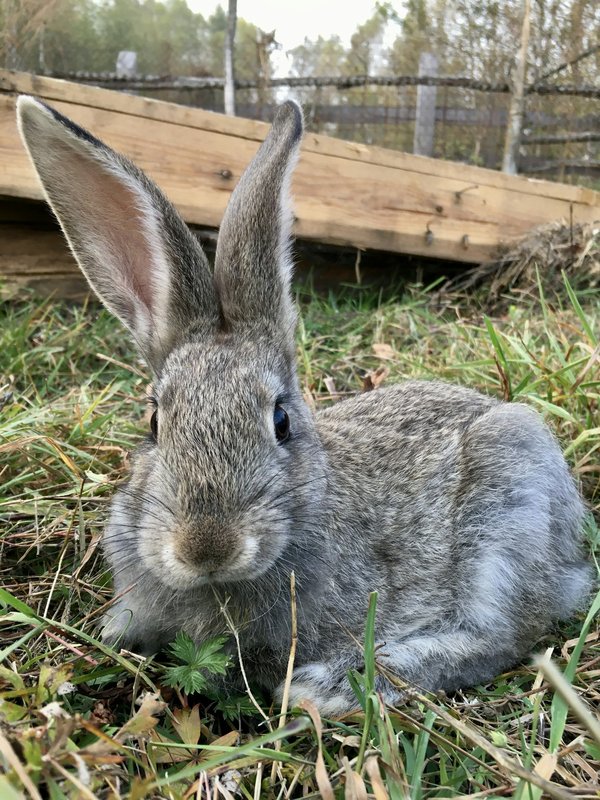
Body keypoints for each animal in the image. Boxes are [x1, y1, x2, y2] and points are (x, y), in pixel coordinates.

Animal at [17, 95, 592, 716]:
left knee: (504, 634)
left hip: (508, 502)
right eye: (154, 421)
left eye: (281, 419)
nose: (206, 547)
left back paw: (337, 684)